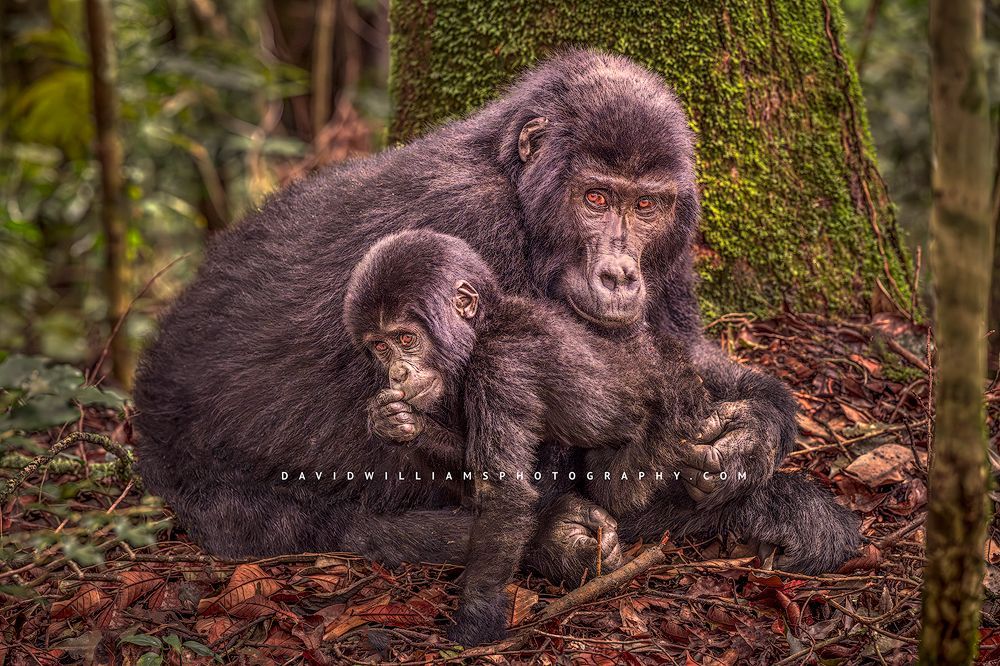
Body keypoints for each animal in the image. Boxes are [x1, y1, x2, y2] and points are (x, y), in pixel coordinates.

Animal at [133, 49, 859, 597]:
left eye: (646, 206)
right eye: (596, 199)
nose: (620, 274)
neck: (517, 180)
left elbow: (678, 355)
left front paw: (755, 432)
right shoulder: (476, 227)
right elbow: (576, 462)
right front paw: (762, 497)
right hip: (229, 502)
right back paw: (554, 541)